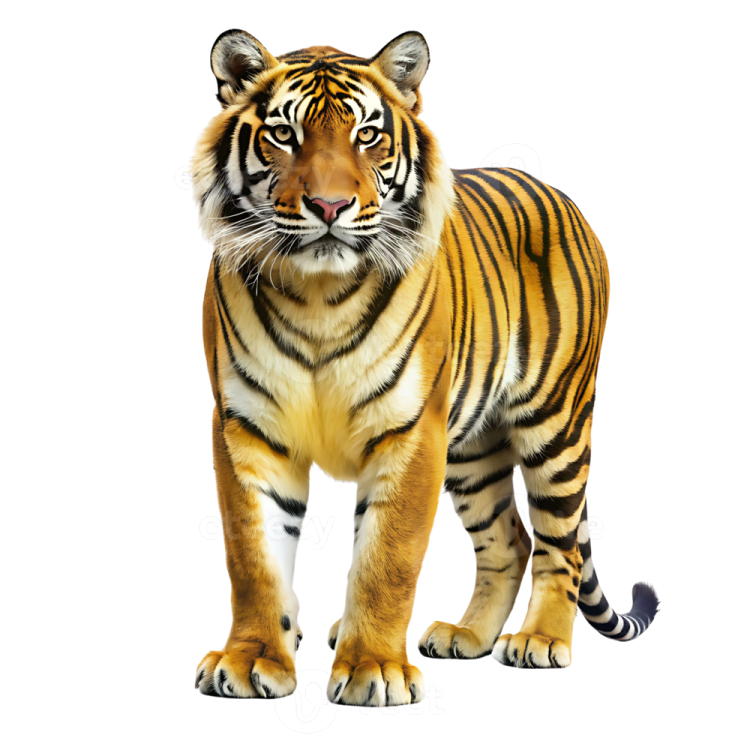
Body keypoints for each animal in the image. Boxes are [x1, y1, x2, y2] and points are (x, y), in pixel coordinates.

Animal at [190, 29, 660, 705]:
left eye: (367, 135)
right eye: (283, 134)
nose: (329, 204)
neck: (317, 296)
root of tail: (554, 193)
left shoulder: (411, 431)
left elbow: (388, 558)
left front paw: (372, 670)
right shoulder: (245, 427)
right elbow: (253, 556)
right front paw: (250, 660)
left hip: (556, 423)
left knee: (560, 543)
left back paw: (540, 641)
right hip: (474, 449)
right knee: (509, 539)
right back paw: (466, 636)